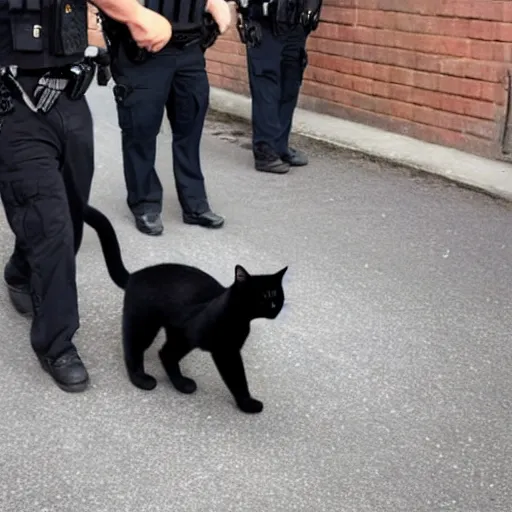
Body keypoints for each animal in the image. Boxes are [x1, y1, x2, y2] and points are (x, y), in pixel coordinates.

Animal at [82, 204, 286, 412]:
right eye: (262, 296)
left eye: (276, 294)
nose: (274, 306)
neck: (240, 317)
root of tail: (134, 275)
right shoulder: (225, 351)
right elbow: (237, 378)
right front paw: (247, 403)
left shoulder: (201, 339)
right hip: (146, 325)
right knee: (134, 347)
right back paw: (141, 379)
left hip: (175, 333)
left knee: (165, 353)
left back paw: (181, 384)